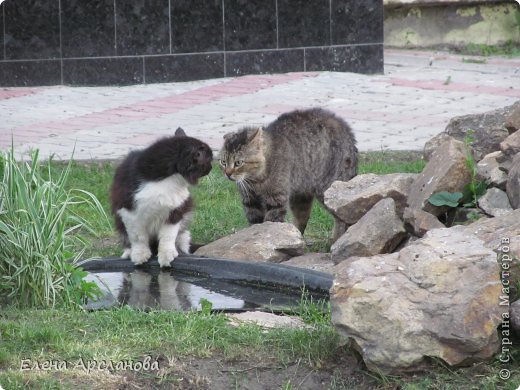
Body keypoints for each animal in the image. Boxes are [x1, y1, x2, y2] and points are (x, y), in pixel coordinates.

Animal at [110, 128, 213, 268]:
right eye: (209, 160)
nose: (212, 168)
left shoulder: (176, 209)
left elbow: (168, 235)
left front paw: (166, 255)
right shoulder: (127, 210)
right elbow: (137, 236)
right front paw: (140, 255)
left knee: (183, 240)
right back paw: (128, 252)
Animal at [219, 107, 358, 241]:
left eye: (238, 163)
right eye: (223, 162)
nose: (228, 174)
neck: (256, 181)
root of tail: (347, 129)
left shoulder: (276, 200)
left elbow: (270, 223)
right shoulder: (251, 203)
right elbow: (255, 224)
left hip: (330, 189)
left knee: (342, 218)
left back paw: (337, 239)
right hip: (301, 195)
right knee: (302, 220)